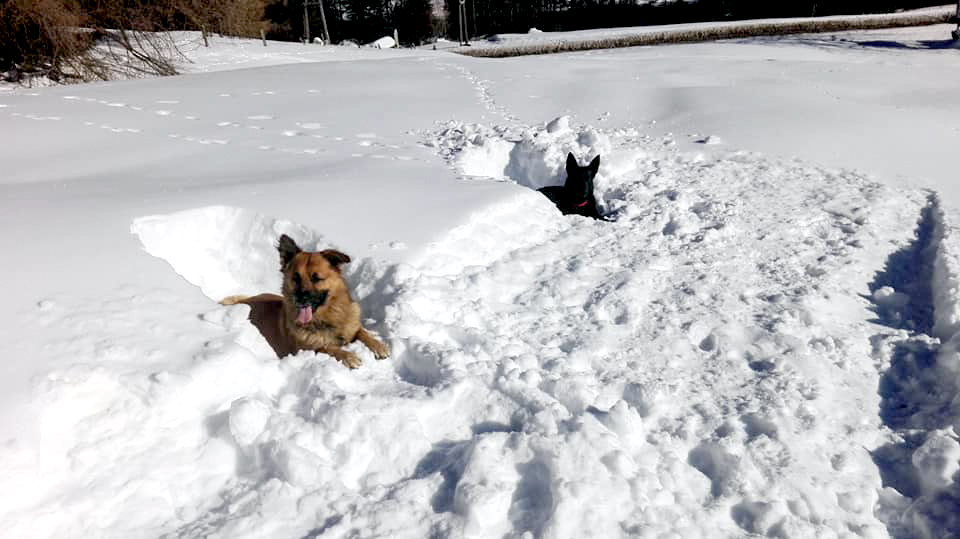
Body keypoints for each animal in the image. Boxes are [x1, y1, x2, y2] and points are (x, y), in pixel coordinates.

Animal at [220, 234, 389, 369]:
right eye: (295, 278)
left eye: (316, 278)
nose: (300, 299)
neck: (327, 319)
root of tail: (247, 299)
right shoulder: (310, 349)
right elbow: (329, 347)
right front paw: (349, 356)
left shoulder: (352, 327)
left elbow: (363, 333)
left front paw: (379, 346)